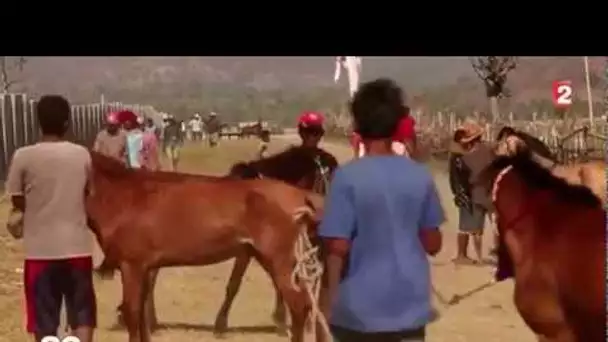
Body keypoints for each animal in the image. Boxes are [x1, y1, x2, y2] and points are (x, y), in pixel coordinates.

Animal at [88, 152, 326, 342]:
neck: (124, 196)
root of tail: (300, 195)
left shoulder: (132, 266)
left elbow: (132, 311)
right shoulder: (145, 268)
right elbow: (141, 316)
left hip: (278, 261)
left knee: (299, 305)